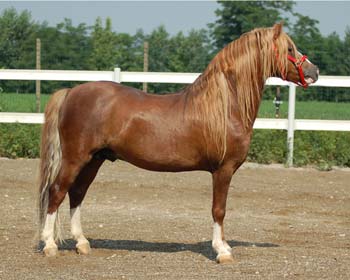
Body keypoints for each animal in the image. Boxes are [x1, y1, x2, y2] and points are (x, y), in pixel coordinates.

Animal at [37, 23, 318, 264]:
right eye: (289, 49)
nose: (314, 71)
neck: (225, 105)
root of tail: (71, 92)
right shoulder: (223, 170)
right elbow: (219, 210)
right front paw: (222, 251)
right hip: (75, 158)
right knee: (57, 191)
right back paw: (50, 245)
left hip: (94, 159)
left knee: (77, 193)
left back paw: (82, 243)